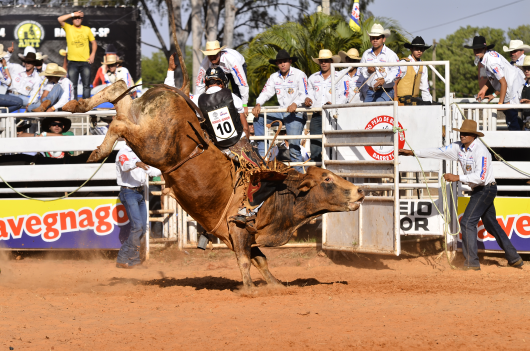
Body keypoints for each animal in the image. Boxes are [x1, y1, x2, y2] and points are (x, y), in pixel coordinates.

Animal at [59, 64, 360, 290]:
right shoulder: (238, 229)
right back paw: (97, 151)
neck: (279, 196)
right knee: (119, 123)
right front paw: (250, 290)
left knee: (120, 91)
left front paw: (276, 285)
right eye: (328, 180)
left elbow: (260, 260)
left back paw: (78, 105)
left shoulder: (243, 236)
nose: (359, 191)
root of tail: (176, 95)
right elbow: (245, 261)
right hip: (152, 145)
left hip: (140, 121)